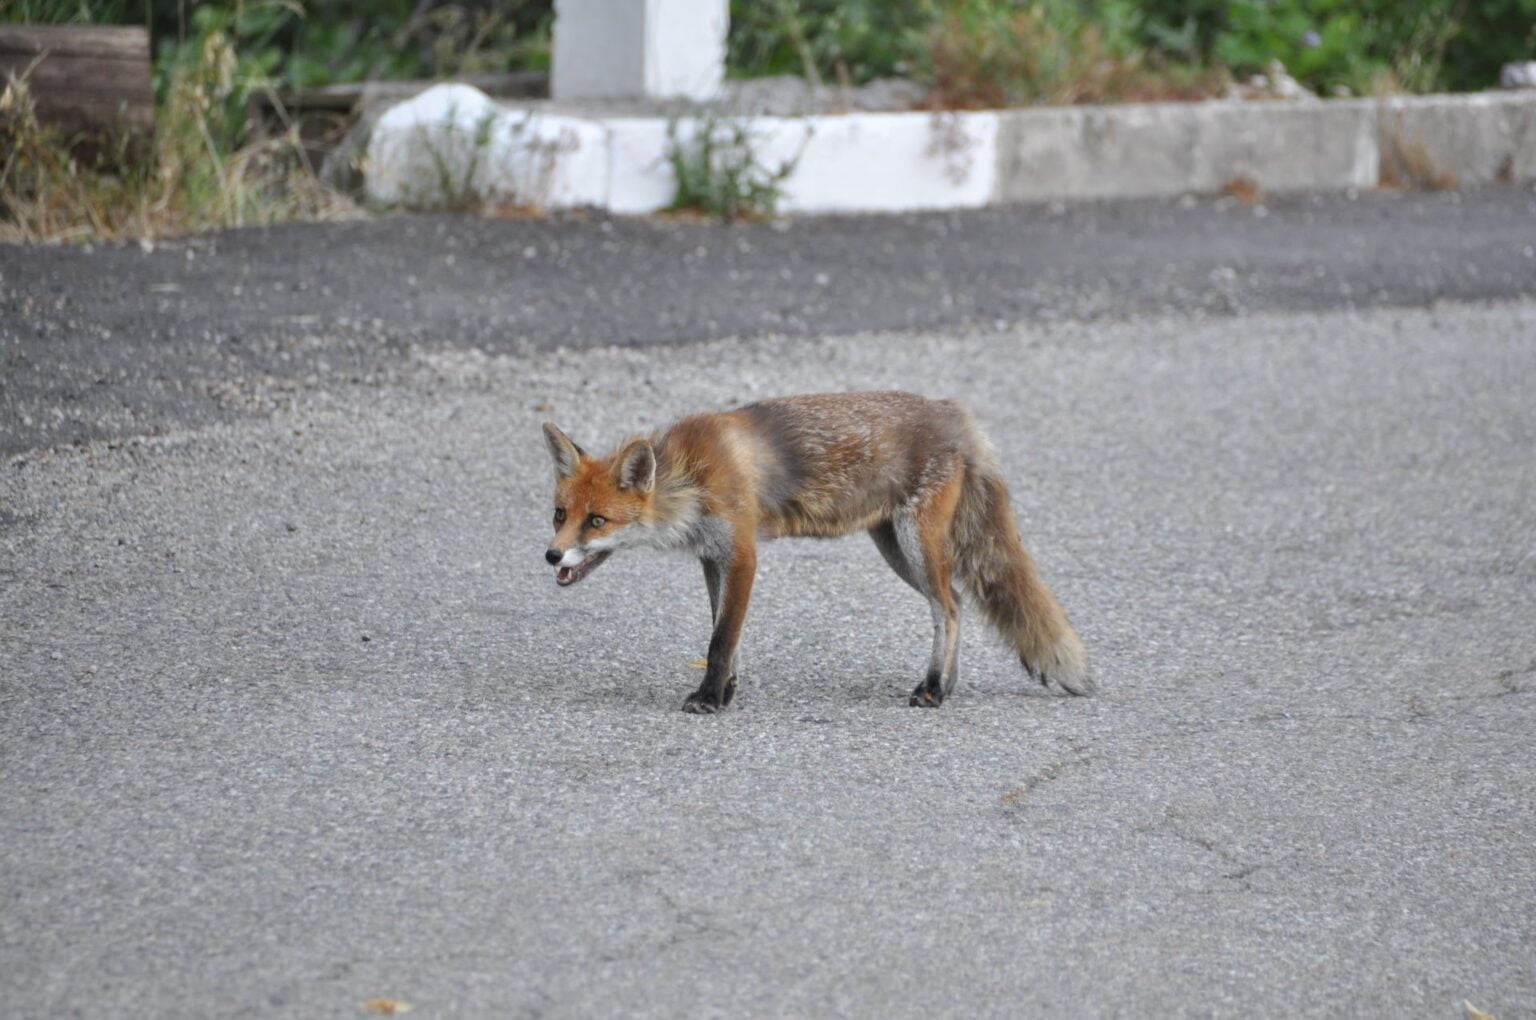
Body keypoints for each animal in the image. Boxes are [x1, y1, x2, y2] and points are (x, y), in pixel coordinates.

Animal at [541, 391, 1090, 713]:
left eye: (597, 521)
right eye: (559, 515)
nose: (551, 556)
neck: (690, 478)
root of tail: (955, 415)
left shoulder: (742, 553)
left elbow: (721, 640)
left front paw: (710, 698)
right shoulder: (712, 557)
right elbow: (724, 634)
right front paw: (726, 690)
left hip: (915, 543)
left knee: (949, 609)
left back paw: (933, 687)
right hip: (896, 548)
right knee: (954, 600)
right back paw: (947, 683)